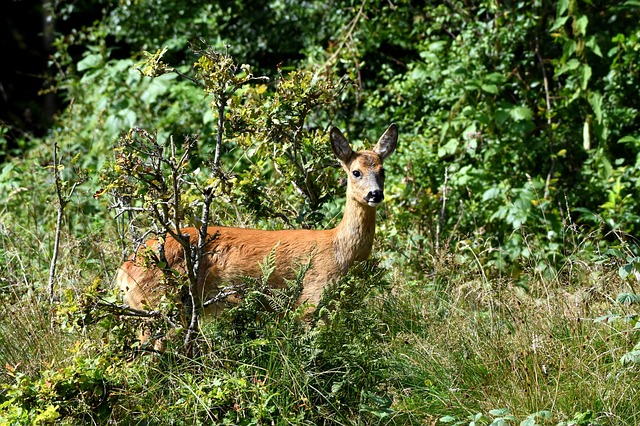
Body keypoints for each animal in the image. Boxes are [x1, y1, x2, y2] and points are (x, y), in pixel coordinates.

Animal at [116, 123, 398, 337]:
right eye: (356, 172)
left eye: (382, 171)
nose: (375, 194)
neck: (339, 251)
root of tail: (123, 270)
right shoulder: (310, 299)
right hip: (156, 301)